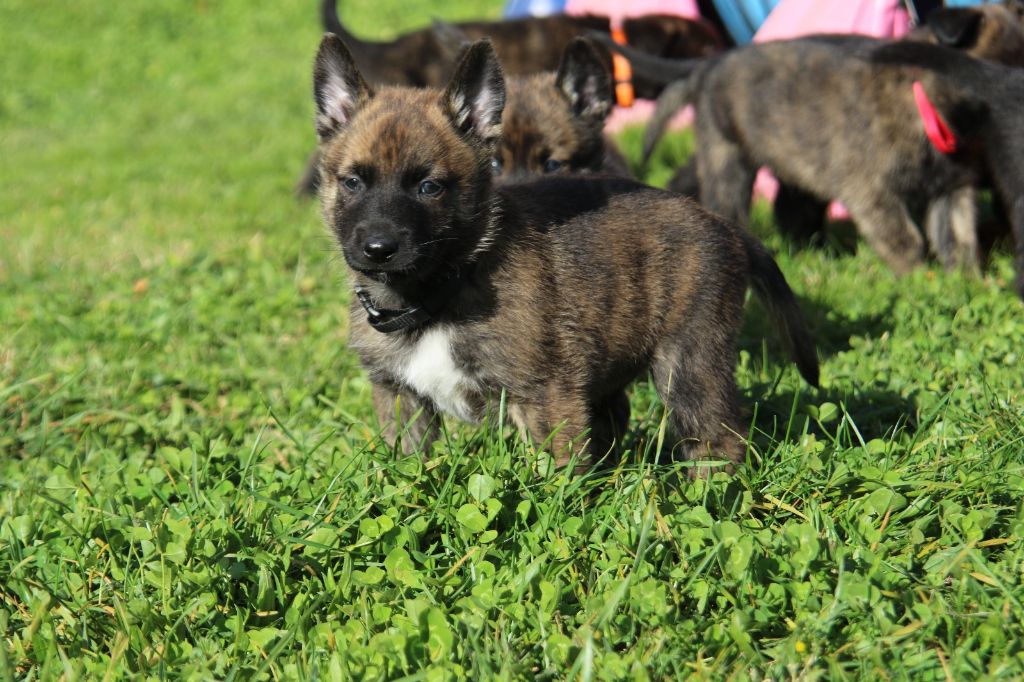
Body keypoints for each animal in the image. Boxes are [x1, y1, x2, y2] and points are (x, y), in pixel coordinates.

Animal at [307, 34, 819, 471]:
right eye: (352, 182)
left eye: (429, 187)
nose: (378, 249)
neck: (437, 294)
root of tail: (724, 225)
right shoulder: (399, 397)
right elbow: (408, 471)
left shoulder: (547, 396)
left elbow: (554, 482)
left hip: (690, 365)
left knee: (718, 440)